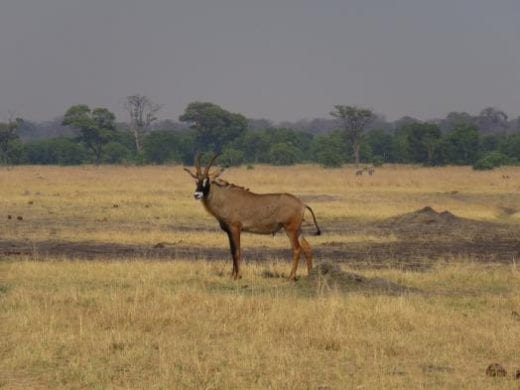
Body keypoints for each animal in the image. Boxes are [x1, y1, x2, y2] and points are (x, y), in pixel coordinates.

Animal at [183, 154, 320, 278]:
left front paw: (237, 276)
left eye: (207, 181)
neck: (225, 197)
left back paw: (291, 277)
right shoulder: (229, 231)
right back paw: (309, 275)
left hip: (290, 229)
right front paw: (232, 275)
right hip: (298, 230)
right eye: (196, 180)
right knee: (307, 248)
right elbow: (232, 251)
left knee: (296, 249)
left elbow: (237, 251)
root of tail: (302, 204)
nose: (197, 194)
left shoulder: (235, 228)